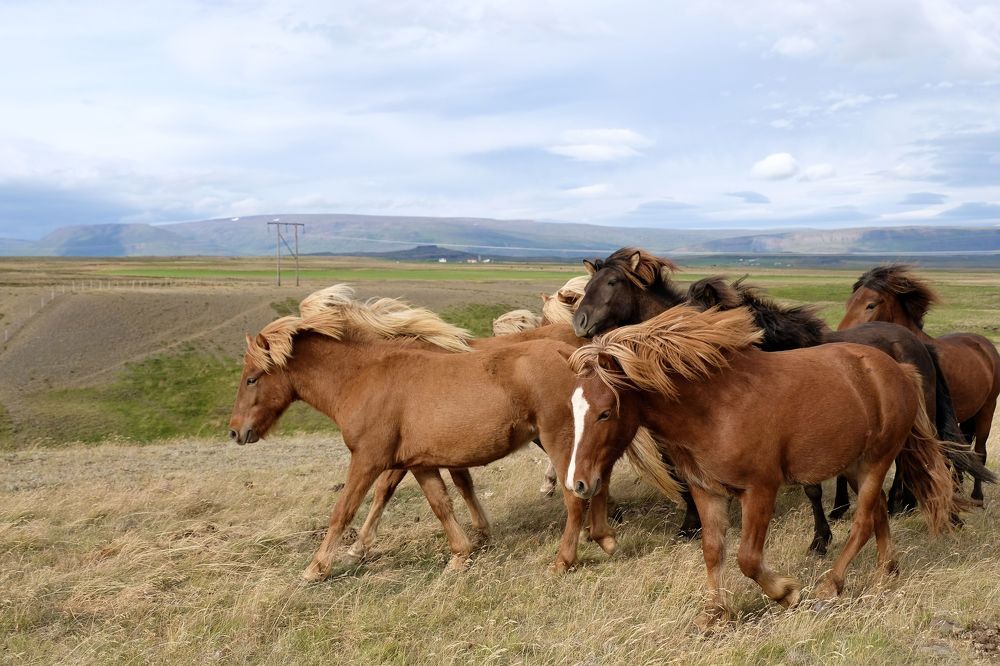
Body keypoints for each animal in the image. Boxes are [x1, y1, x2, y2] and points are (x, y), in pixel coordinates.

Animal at [228, 285, 678, 580]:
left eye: (251, 378)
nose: (235, 432)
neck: (365, 376)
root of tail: (572, 352)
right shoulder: (420, 462)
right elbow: (442, 503)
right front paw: (463, 553)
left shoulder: (369, 459)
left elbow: (345, 510)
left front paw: (318, 567)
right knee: (595, 484)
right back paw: (604, 539)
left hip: (560, 441)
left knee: (576, 495)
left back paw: (565, 559)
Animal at [565, 305, 964, 630]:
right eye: (573, 409)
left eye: (605, 413)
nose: (578, 483)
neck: (715, 407)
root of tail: (899, 369)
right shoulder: (706, 491)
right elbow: (713, 550)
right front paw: (715, 613)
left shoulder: (760, 490)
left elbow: (747, 558)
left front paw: (786, 593)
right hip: (855, 465)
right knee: (879, 511)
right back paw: (885, 572)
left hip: (878, 459)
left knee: (864, 520)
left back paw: (831, 584)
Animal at [839, 265, 1000, 504]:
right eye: (849, 303)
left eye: (871, 304)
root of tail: (983, 343)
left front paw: (901, 500)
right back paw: (957, 488)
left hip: (987, 410)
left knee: (979, 451)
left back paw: (976, 497)